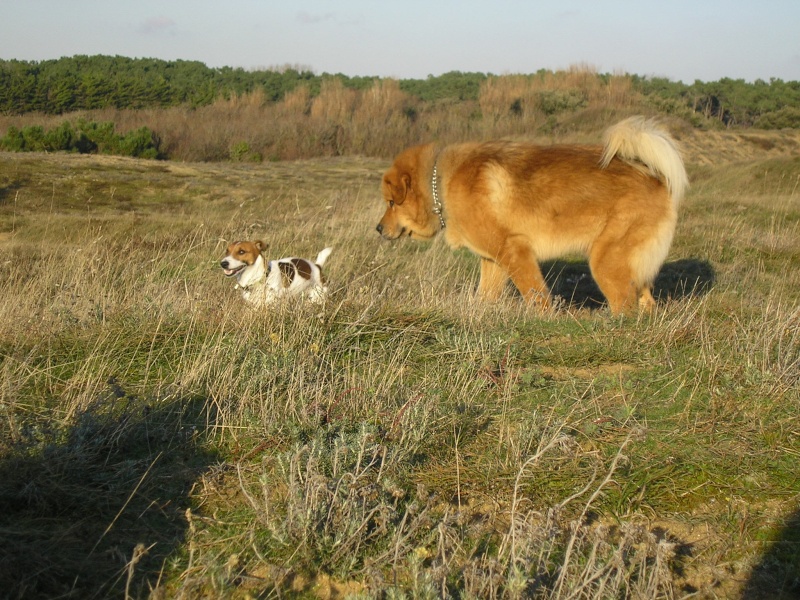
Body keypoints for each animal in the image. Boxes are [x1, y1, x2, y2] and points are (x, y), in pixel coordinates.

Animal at [376, 115, 688, 316]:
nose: (378, 229)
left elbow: (536, 295)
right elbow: (484, 296)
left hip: (605, 261)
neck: (439, 183)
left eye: (391, 203)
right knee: (646, 304)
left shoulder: (514, 251)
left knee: (625, 307)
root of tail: (656, 176)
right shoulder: (493, 260)